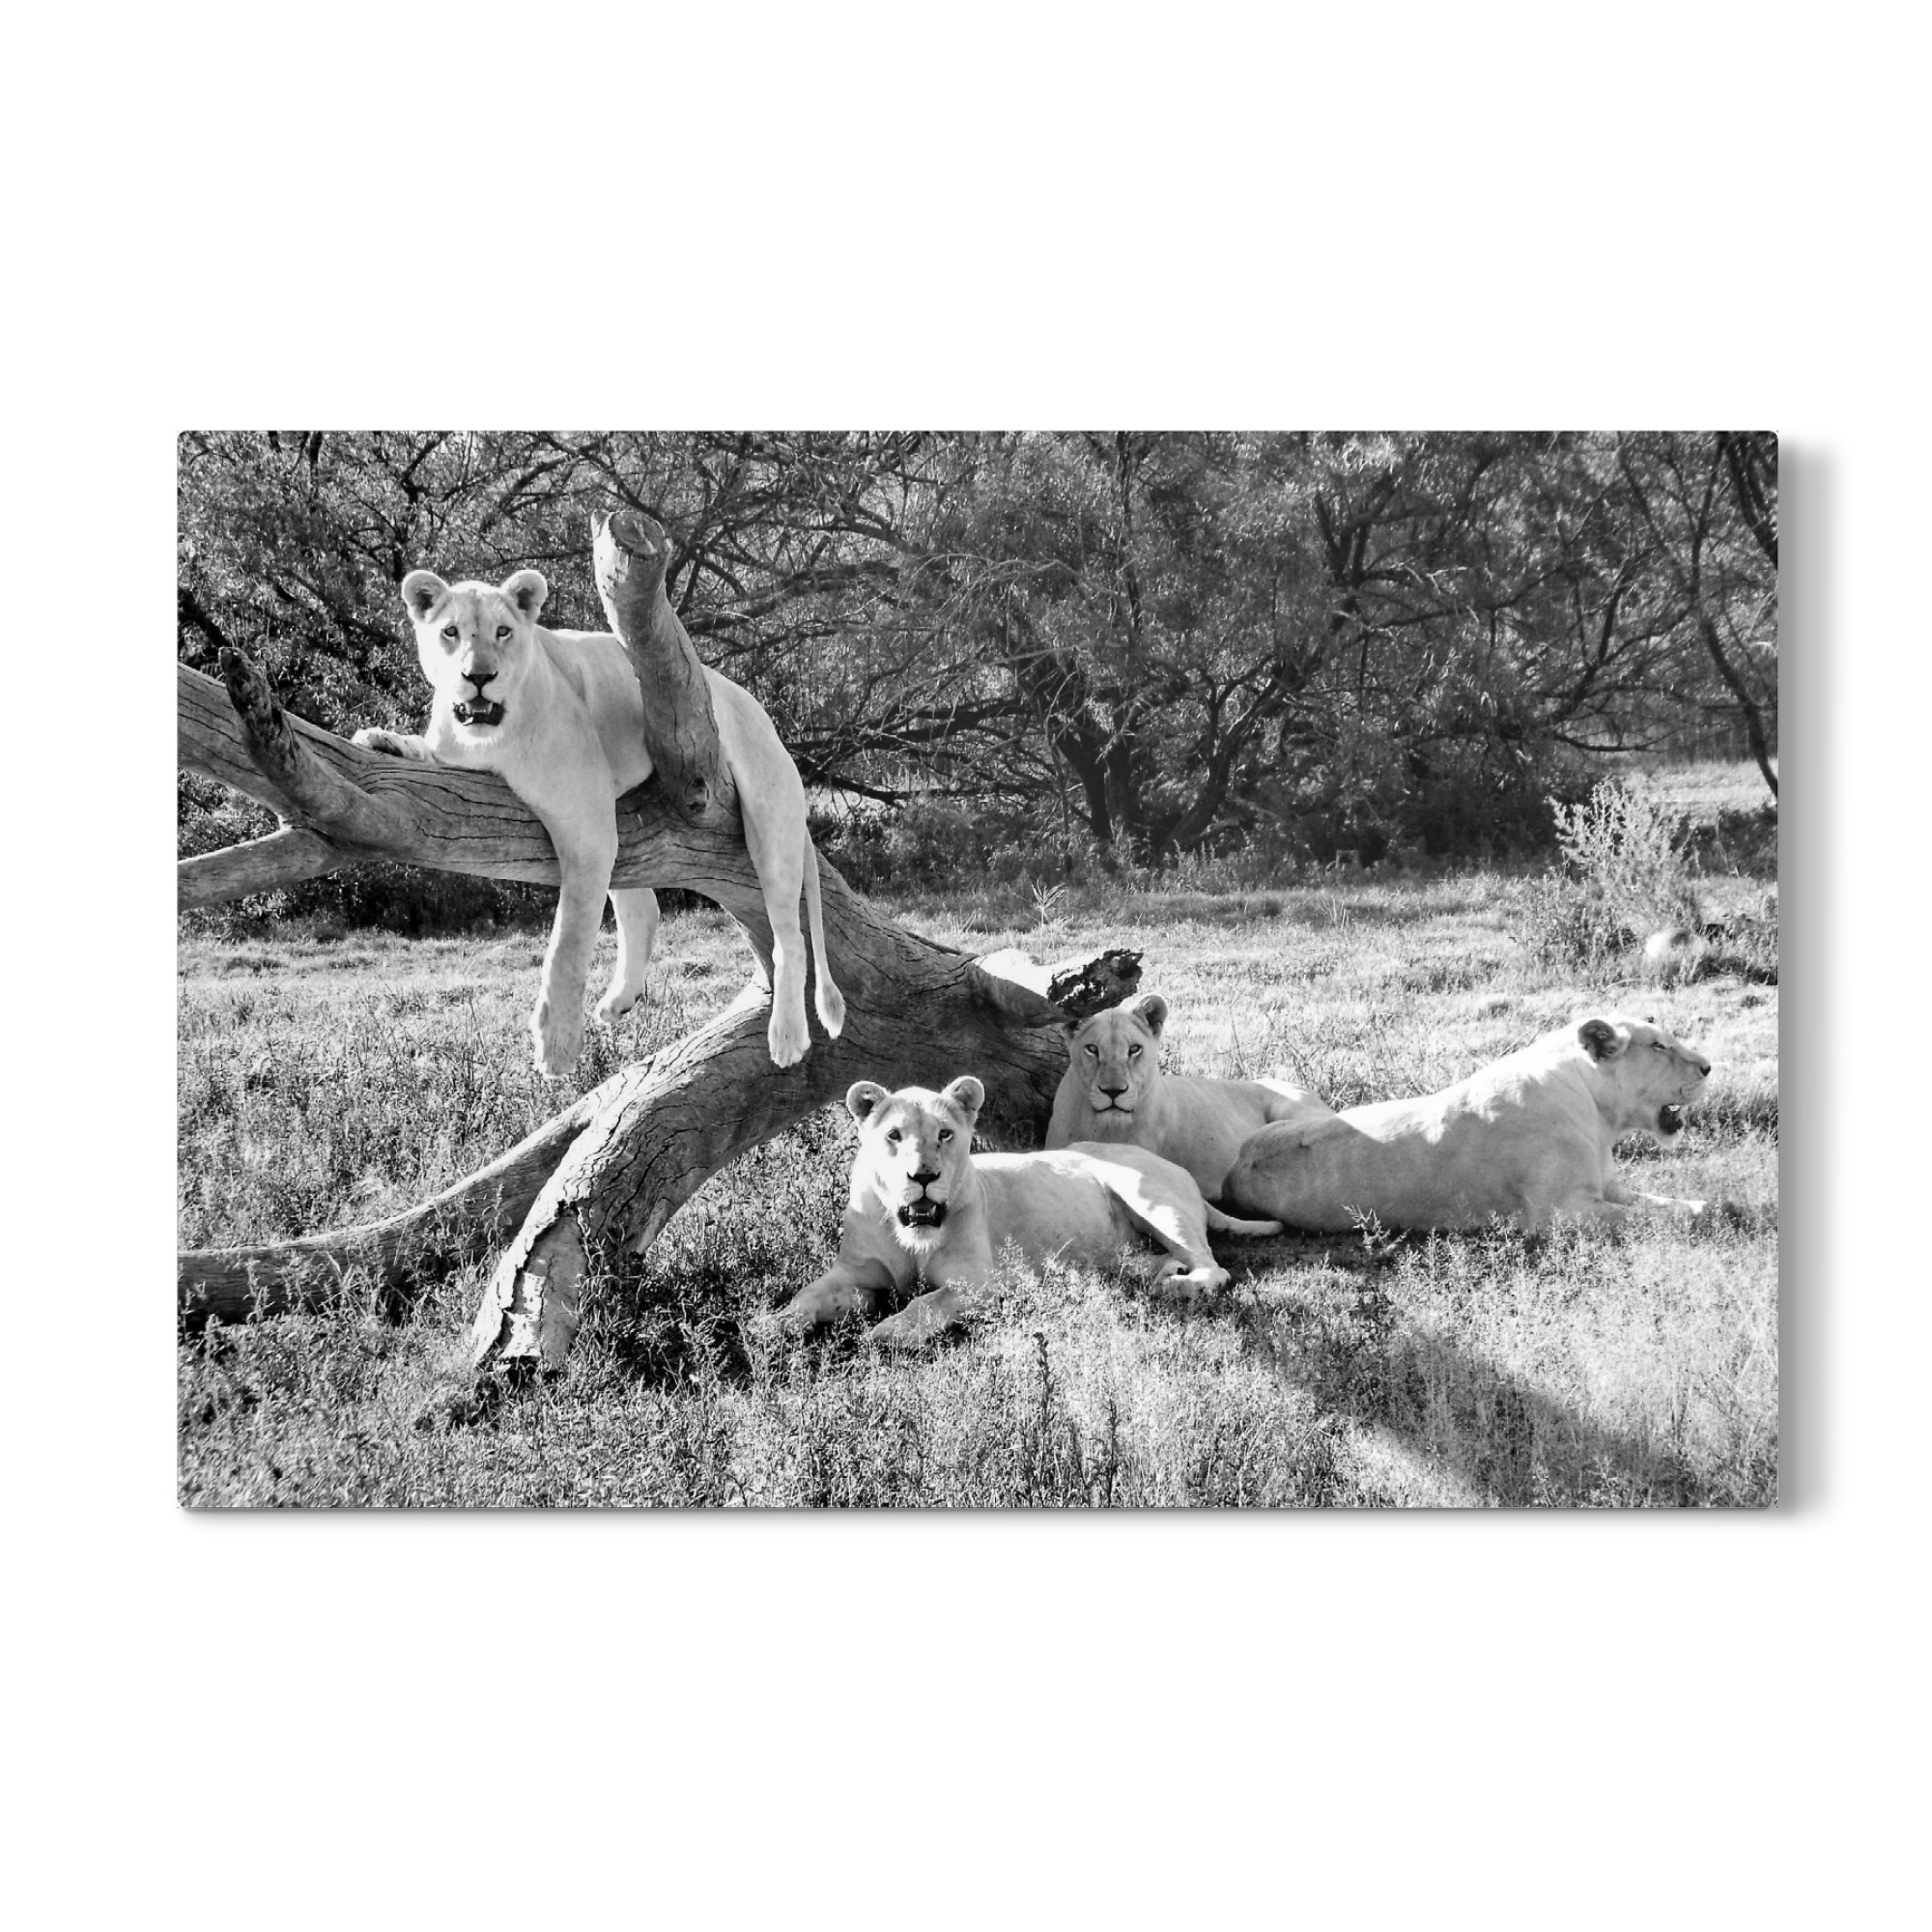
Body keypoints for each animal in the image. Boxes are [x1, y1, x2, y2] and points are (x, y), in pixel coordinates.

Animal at [353, 565, 844, 1075]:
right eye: (450, 632)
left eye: (503, 632)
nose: (479, 676)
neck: (489, 737)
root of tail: (758, 710)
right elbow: (424, 750)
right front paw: (384, 740)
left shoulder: (586, 823)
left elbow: (568, 943)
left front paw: (557, 1044)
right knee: (644, 908)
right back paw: (619, 1001)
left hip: (770, 819)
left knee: (790, 937)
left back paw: (787, 1036)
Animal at [778, 1075, 1285, 1350]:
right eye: (894, 1135)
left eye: (944, 1134)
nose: (923, 1176)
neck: (911, 1238)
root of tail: (1179, 1171)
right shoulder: (851, 1273)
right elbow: (806, 1296)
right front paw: (772, 1326)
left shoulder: (978, 1284)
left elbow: (925, 1302)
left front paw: (883, 1332)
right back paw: (1149, 1273)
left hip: (1146, 1194)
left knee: (1213, 1267)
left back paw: (1177, 1286)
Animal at [1222, 1014, 1712, 1232]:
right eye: (1658, 1046)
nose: (1709, 1067)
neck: (1601, 1119)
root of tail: (1238, 1162)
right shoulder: (1561, 1212)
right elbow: (1644, 1217)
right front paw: (1701, 1216)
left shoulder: (1607, 1189)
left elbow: (1658, 1203)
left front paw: (1704, 1205)